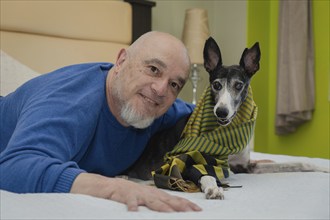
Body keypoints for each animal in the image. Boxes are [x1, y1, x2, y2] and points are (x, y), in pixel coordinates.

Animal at [125, 36, 328, 199]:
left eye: (239, 85)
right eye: (216, 85)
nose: (221, 112)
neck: (227, 132)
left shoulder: (245, 166)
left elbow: (296, 163)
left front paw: (322, 167)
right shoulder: (186, 161)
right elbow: (205, 173)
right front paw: (213, 188)